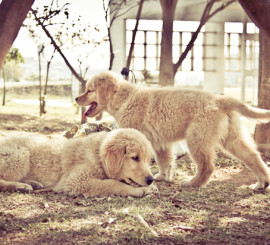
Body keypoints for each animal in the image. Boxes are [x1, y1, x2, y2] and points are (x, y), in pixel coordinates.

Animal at [0, 128, 156, 197]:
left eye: (147, 160)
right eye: (135, 158)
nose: (150, 179)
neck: (98, 154)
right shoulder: (77, 181)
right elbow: (113, 184)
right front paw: (141, 190)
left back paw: (33, 184)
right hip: (20, 156)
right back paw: (20, 186)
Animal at [75, 71, 270, 191]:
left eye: (89, 90)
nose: (76, 98)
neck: (125, 99)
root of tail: (220, 100)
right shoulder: (161, 143)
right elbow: (165, 161)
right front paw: (163, 177)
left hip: (196, 139)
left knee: (207, 166)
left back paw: (192, 183)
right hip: (232, 139)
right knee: (253, 156)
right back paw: (262, 183)